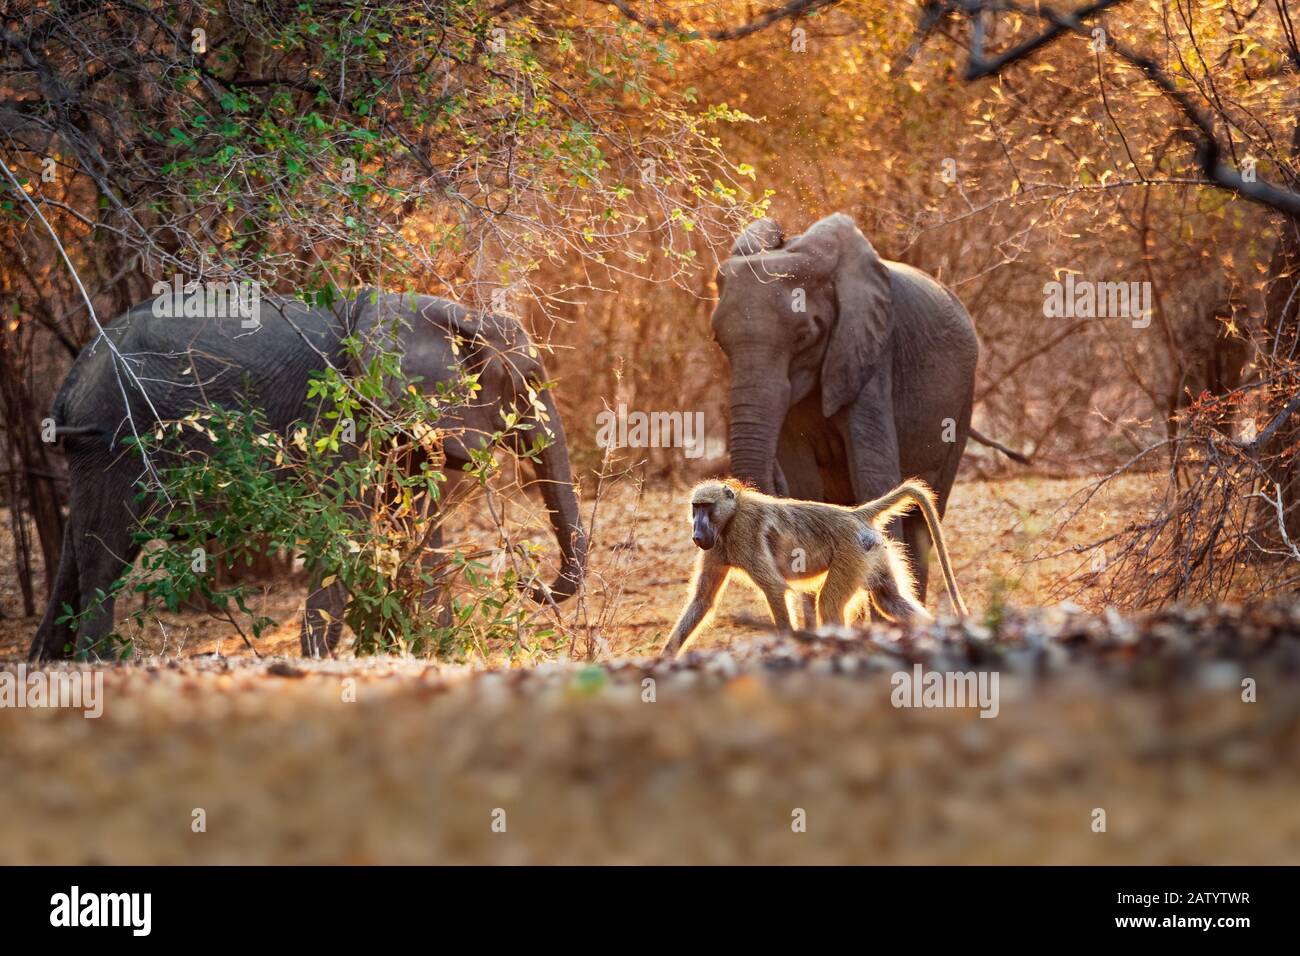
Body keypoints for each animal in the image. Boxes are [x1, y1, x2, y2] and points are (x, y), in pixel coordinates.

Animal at [30, 291, 590, 660]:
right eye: (527, 382)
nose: (529, 583)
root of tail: (69, 385)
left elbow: (417, 534)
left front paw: (439, 654)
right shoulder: (343, 418)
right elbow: (348, 530)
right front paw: (318, 662)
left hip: (92, 455)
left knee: (75, 557)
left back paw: (45, 667)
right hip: (114, 442)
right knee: (105, 559)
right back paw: (99, 666)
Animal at [712, 214, 977, 606]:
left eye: (805, 336)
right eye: (718, 341)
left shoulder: (870, 353)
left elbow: (875, 475)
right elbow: (803, 484)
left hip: (963, 401)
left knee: (924, 514)